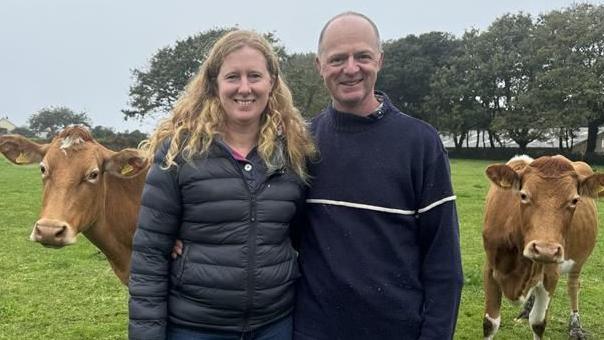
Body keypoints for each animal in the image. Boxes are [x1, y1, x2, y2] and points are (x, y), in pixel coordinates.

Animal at [482, 155, 604, 338]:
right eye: (523, 195)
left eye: (575, 200)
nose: (545, 250)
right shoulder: (490, 268)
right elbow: (490, 323)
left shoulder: (551, 273)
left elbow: (538, 323)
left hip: (577, 262)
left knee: (573, 286)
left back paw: (575, 325)